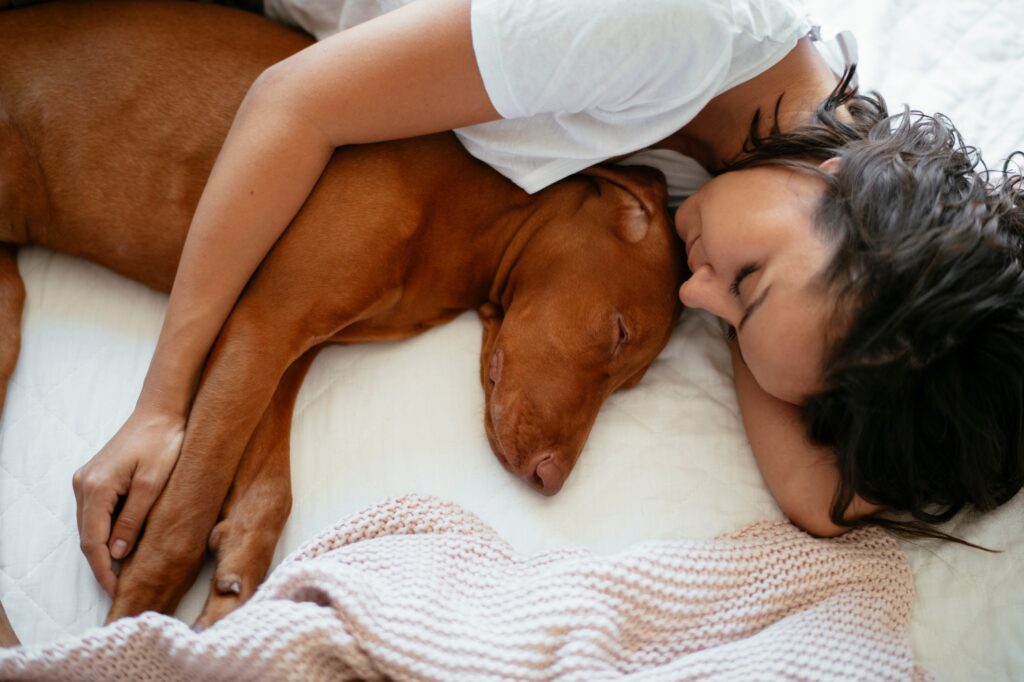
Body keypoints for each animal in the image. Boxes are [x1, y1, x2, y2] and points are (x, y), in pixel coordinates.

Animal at [2, 1, 688, 626]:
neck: (463, 216)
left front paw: (236, 583)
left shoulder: (281, 343)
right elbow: (181, 514)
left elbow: (266, 488)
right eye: (618, 334)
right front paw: (132, 634)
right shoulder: (264, 325)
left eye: (630, 384)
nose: (553, 479)